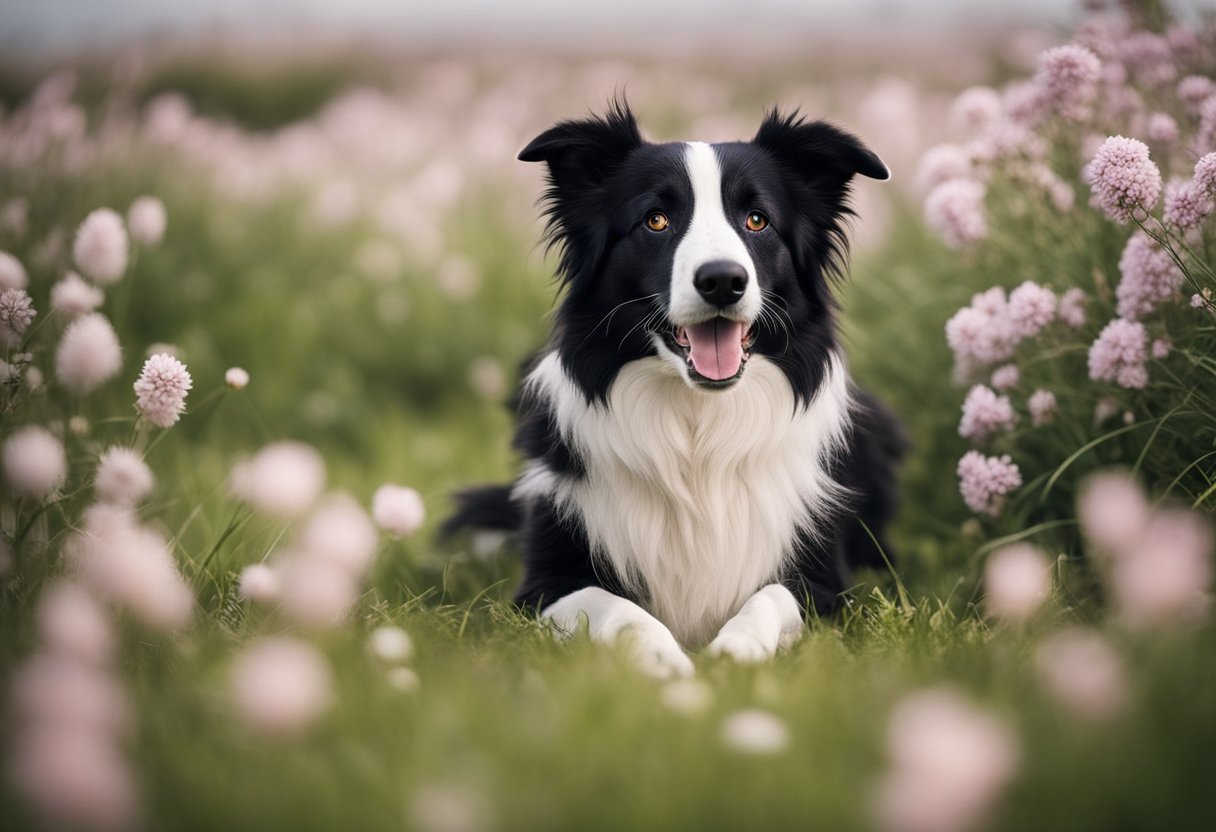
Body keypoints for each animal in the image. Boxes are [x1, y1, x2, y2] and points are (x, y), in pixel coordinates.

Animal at [447, 102, 904, 676]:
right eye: (655, 220)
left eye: (757, 220)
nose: (722, 280)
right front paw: (664, 660)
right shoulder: (545, 584)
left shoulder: (823, 583)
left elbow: (768, 599)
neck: (696, 424)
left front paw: (735, 652)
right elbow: (615, 608)